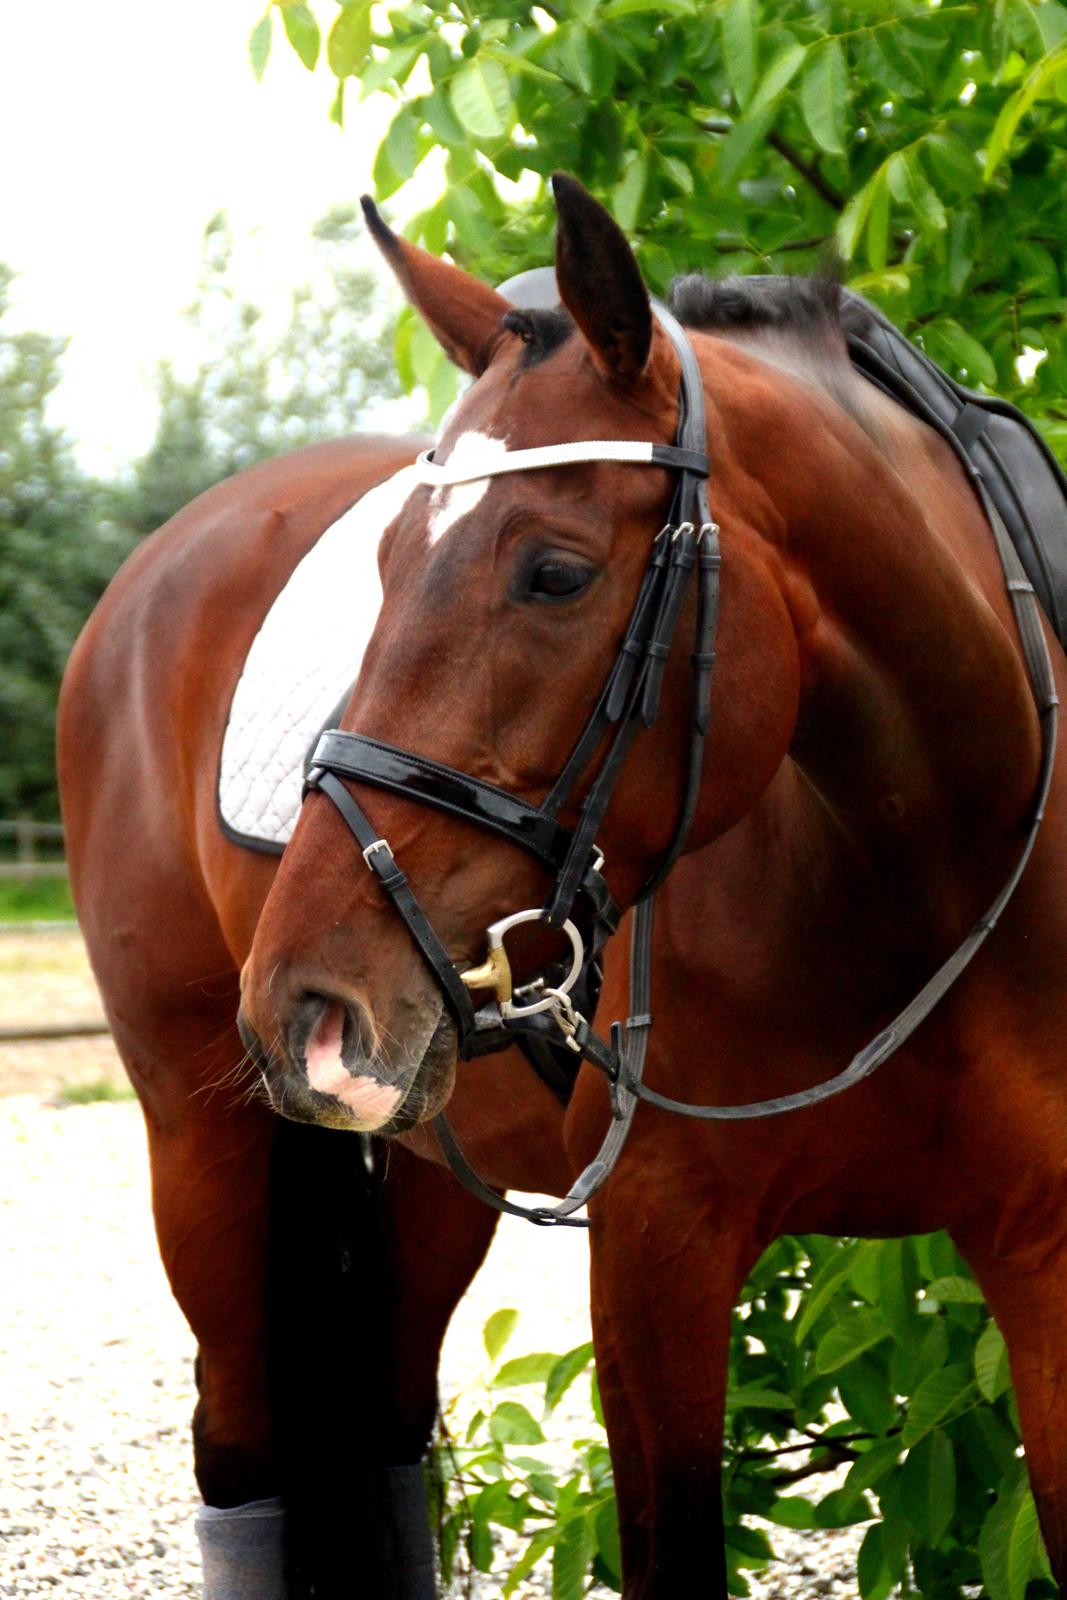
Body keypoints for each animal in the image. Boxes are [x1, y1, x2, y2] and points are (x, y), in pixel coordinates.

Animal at [58, 165, 1067, 1600]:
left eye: (554, 572)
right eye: (379, 570)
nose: (306, 1003)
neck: (922, 863)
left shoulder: (1043, 1251)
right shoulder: (656, 1252)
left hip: (427, 1159)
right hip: (204, 1147)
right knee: (239, 1448)